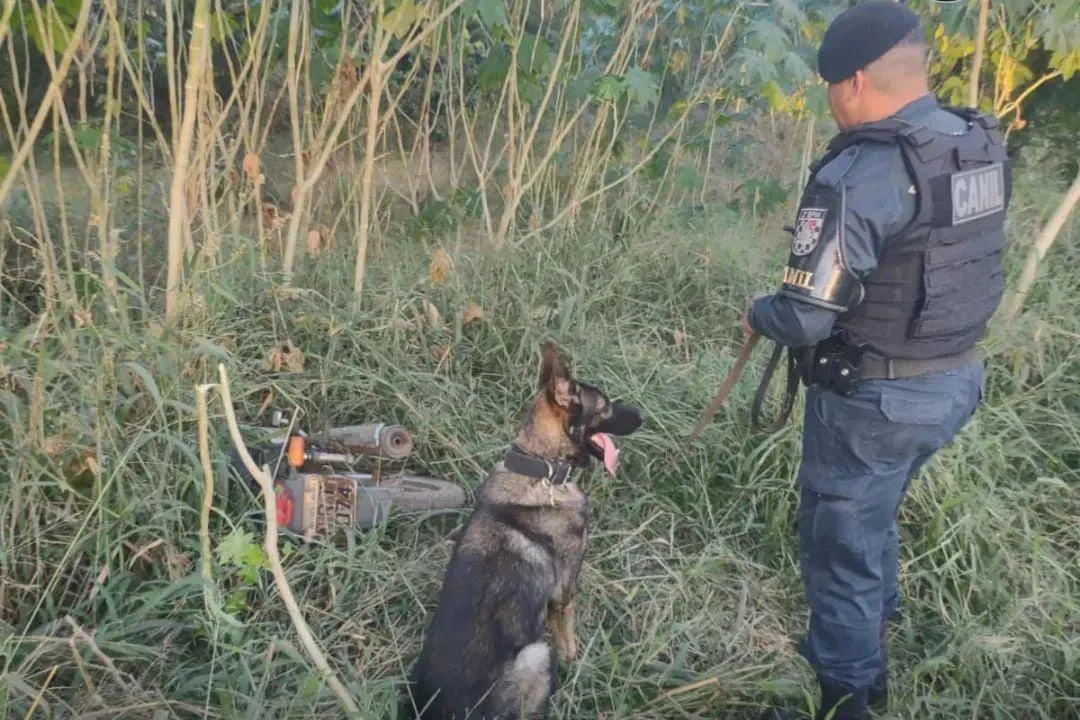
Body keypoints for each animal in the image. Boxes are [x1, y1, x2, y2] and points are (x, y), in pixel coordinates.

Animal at [403, 341, 639, 716]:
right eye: (606, 406)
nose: (643, 416)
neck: (540, 470)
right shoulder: (564, 588)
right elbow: (567, 630)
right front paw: (575, 659)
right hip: (536, 653)